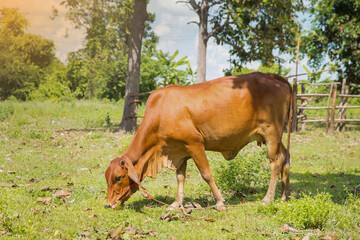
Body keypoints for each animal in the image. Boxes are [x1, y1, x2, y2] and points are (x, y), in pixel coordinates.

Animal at [104, 72, 292, 210]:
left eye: (118, 177)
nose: (108, 205)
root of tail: (273, 76)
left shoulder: (195, 144)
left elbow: (206, 174)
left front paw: (219, 202)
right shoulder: (178, 150)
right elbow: (180, 178)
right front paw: (176, 203)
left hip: (272, 132)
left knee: (275, 162)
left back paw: (268, 198)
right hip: (275, 137)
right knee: (285, 157)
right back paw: (284, 196)